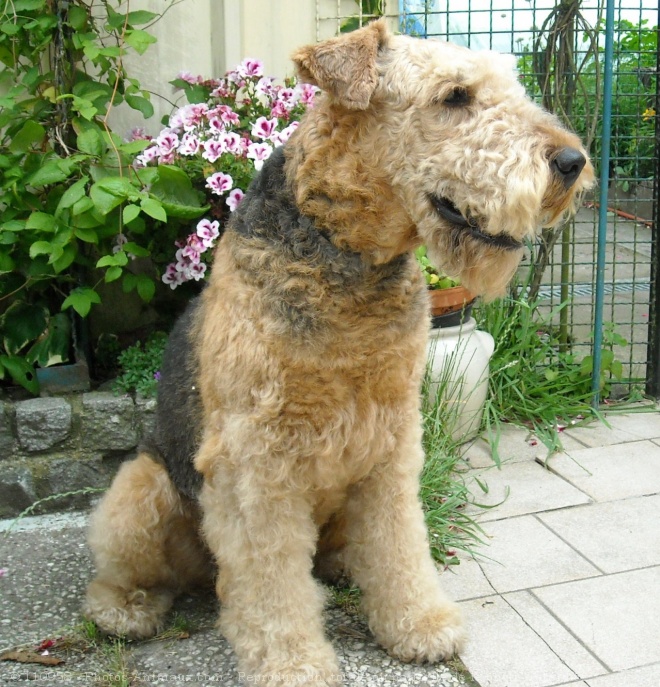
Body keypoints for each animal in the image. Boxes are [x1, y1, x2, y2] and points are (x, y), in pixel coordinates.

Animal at [82, 18, 592, 684]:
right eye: (455, 96)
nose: (572, 161)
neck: (349, 257)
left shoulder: (392, 442)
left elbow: (400, 545)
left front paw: (418, 624)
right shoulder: (256, 462)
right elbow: (272, 582)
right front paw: (293, 664)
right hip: (141, 490)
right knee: (128, 571)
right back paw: (126, 610)